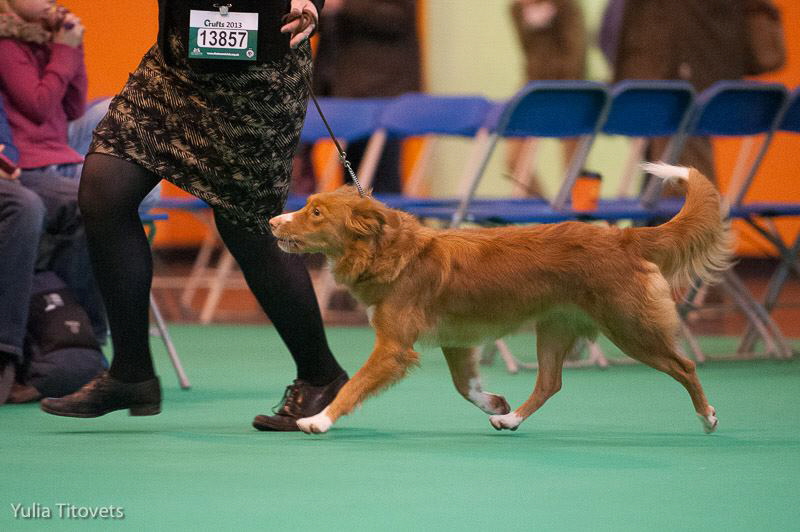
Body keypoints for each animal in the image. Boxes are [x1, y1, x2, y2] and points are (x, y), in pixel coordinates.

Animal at [270, 163, 732, 436]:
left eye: (315, 213)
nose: (272, 220)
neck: (393, 252)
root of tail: (625, 237)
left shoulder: (393, 347)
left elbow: (355, 386)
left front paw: (318, 419)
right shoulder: (456, 340)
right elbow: (464, 386)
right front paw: (494, 401)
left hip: (630, 327)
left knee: (684, 365)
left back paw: (708, 416)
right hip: (555, 328)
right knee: (550, 382)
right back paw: (510, 418)